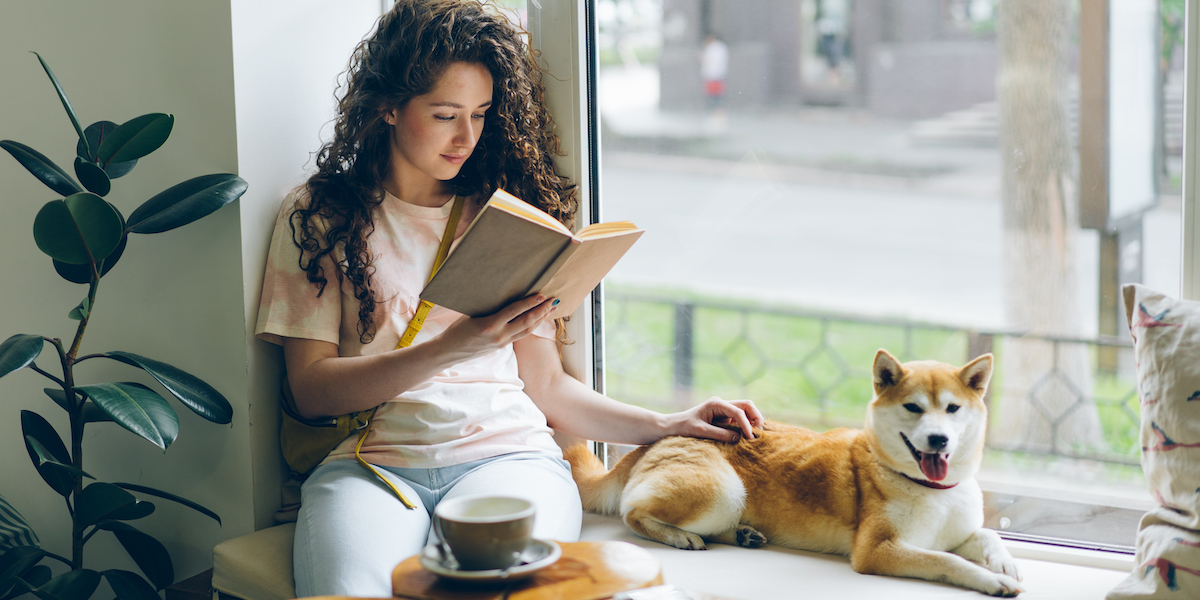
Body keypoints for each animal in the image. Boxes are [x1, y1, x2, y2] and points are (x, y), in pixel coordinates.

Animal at [566, 348, 1027, 595]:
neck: (933, 490)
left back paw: (742, 534)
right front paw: (990, 580)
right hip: (723, 491)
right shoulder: (878, 550)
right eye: (913, 407)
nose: (938, 440)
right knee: (633, 513)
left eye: (953, 408)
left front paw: (1005, 565)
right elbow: (946, 561)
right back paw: (680, 536)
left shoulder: (960, 532)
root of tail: (654, 441)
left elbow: (986, 536)